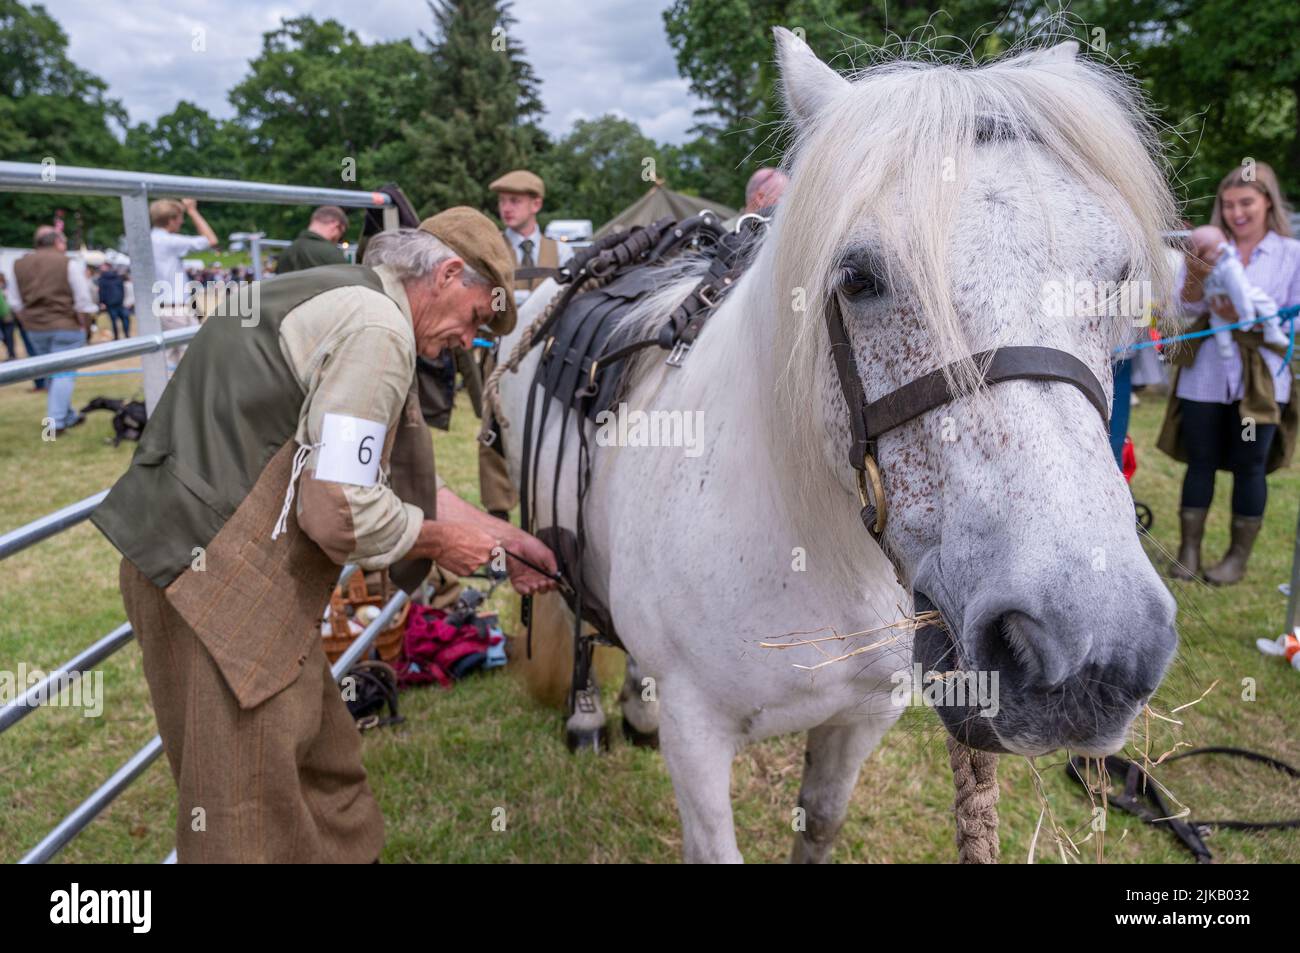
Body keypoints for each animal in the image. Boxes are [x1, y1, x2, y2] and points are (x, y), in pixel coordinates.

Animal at [493, 29, 1180, 863]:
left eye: (1120, 277)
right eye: (857, 277)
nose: (1093, 647)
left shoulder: (860, 720)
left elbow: (819, 821)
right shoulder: (699, 739)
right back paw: (590, 711)